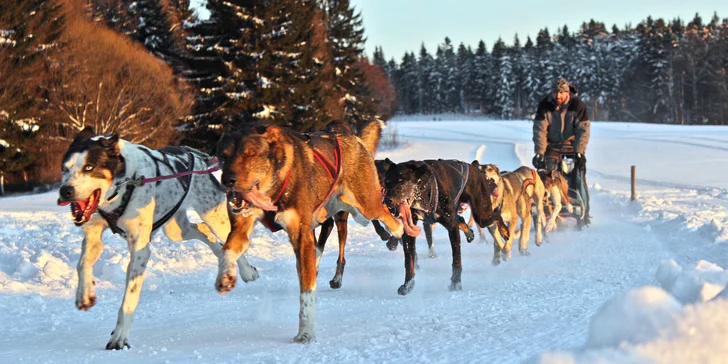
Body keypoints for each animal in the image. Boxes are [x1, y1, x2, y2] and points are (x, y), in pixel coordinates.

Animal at [58, 127, 260, 350]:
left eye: (89, 167)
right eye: (64, 169)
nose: (65, 191)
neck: (125, 183)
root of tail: (197, 157)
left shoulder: (140, 250)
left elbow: (129, 298)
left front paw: (119, 336)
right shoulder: (93, 235)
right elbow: (82, 265)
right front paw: (85, 295)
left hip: (214, 218)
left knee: (234, 241)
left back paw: (246, 271)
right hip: (176, 230)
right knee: (203, 232)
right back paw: (220, 255)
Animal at [215, 120, 404, 344]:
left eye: (250, 154)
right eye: (223, 156)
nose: (227, 180)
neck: (274, 188)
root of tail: (349, 136)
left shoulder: (301, 236)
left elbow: (307, 291)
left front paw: (306, 332)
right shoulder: (241, 227)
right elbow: (226, 250)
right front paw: (226, 276)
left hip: (365, 206)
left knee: (384, 213)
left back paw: (399, 230)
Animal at [384, 159, 510, 296]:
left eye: (402, 180)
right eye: (387, 182)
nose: (387, 200)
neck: (426, 189)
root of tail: (474, 167)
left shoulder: (452, 227)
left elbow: (456, 260)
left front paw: (456, 284)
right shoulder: (410, 230)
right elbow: (409, 261)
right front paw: (408, 285)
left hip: (481, 215)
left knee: (496, 214)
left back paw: (504, 231)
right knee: (461, 219)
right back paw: (469, 233)